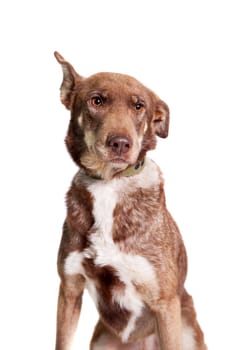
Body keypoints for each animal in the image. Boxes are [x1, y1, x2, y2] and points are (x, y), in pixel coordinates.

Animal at [53, 52, 207, 350]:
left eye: (139, 106)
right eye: (96, 101)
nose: (121, 144)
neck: (109, 183)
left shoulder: (164, 303)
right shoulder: (69, 289)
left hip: (188, 330)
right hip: (101, 338)